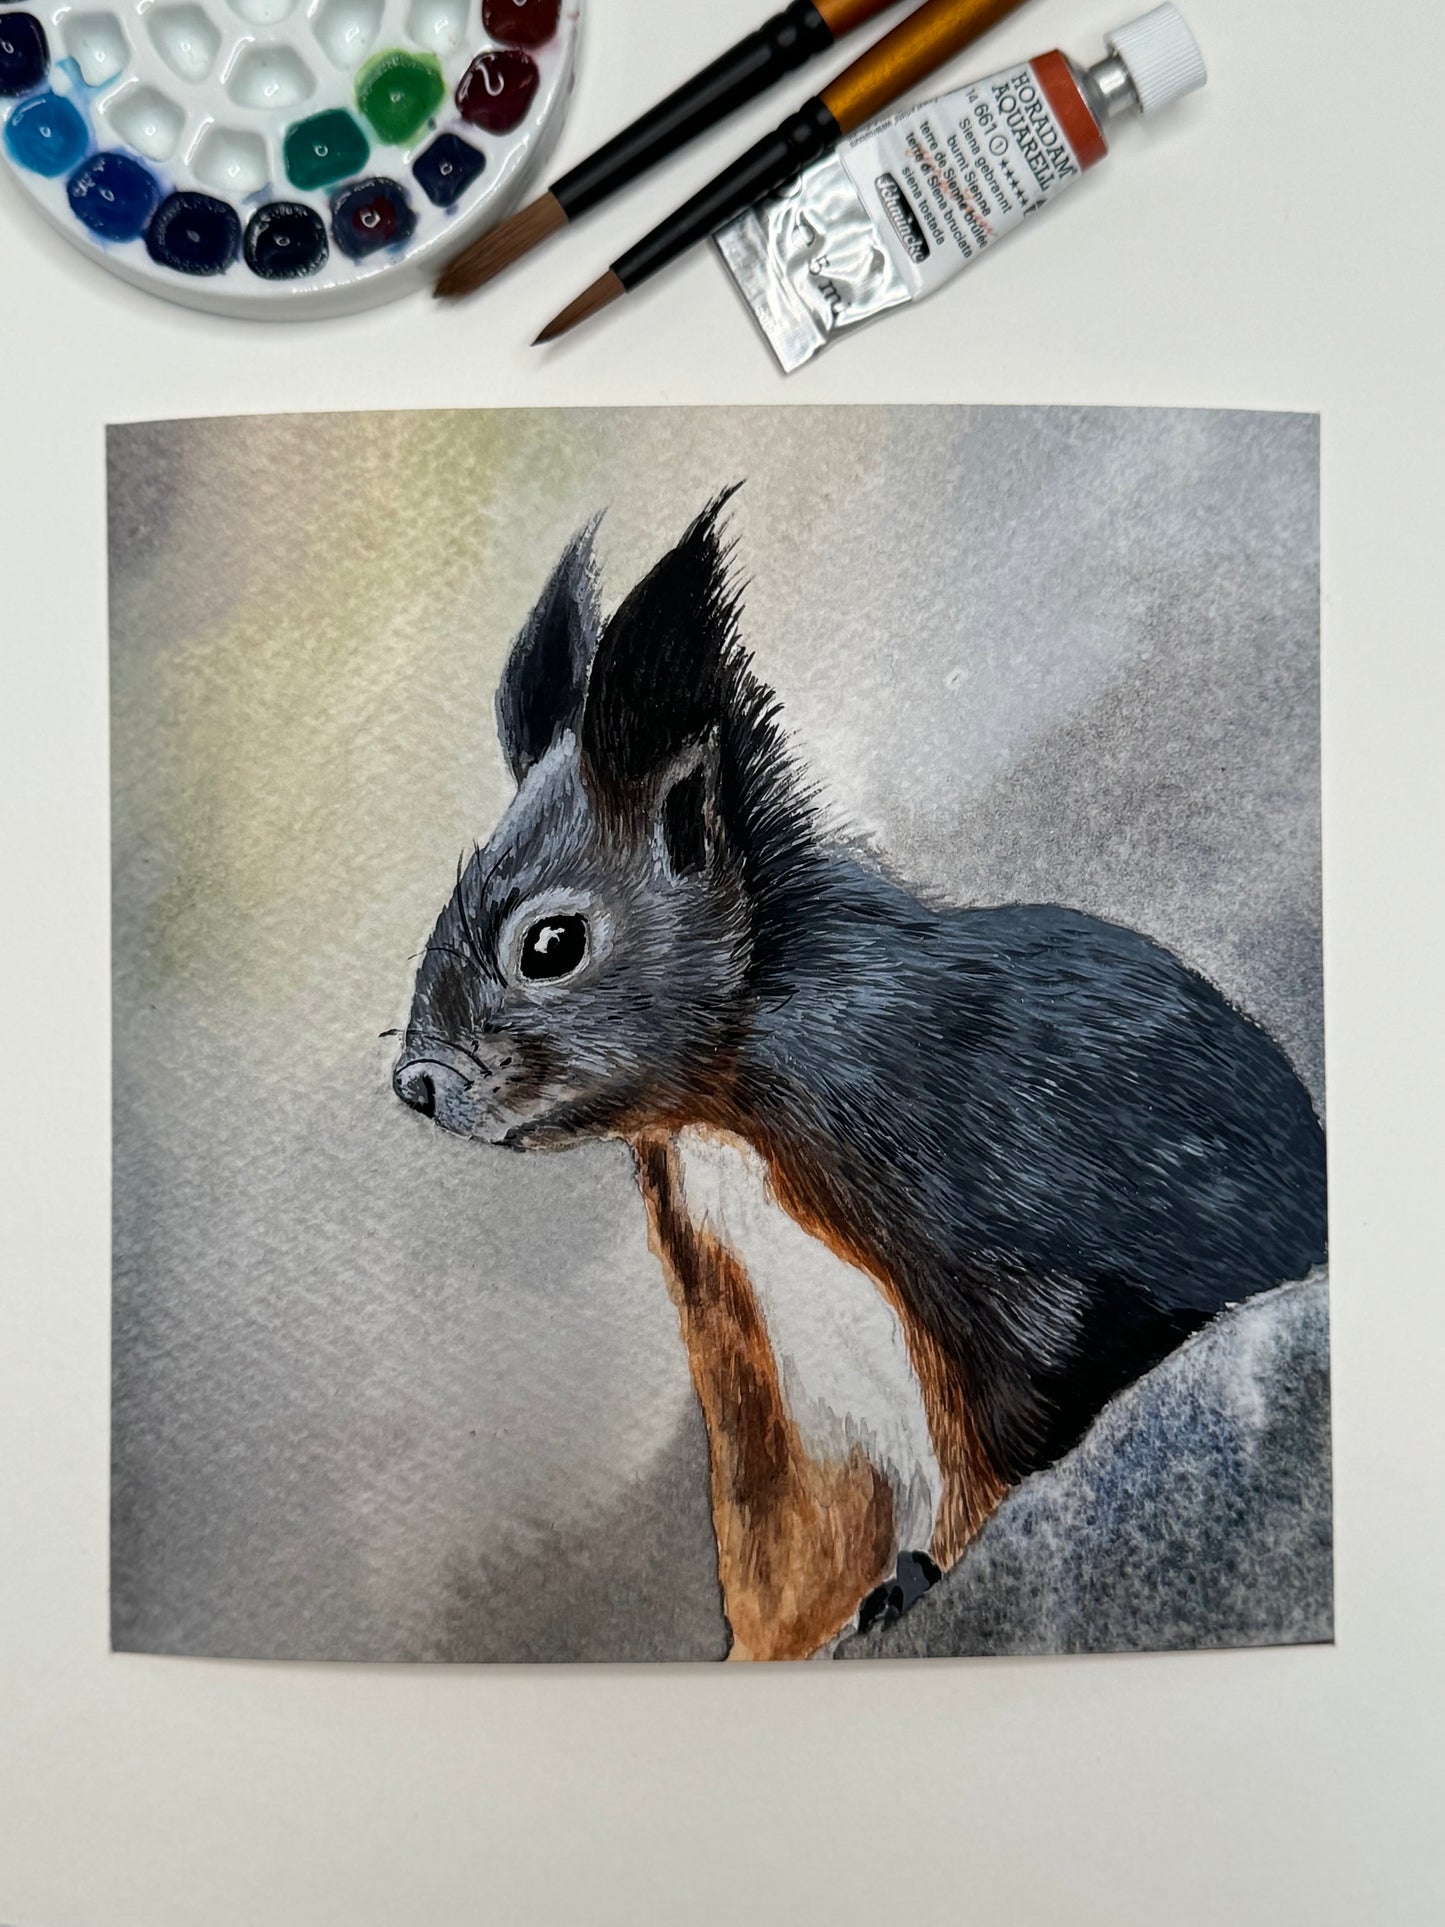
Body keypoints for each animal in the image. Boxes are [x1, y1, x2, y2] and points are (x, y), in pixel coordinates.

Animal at [393, 493, 1328, 1661]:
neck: (719, 1115)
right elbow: (782, 1558)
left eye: (551, 943)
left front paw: (923, 1579)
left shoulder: (990, 1234)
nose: (417, 1081)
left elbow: (1019, 1419)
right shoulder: (771, 1405)